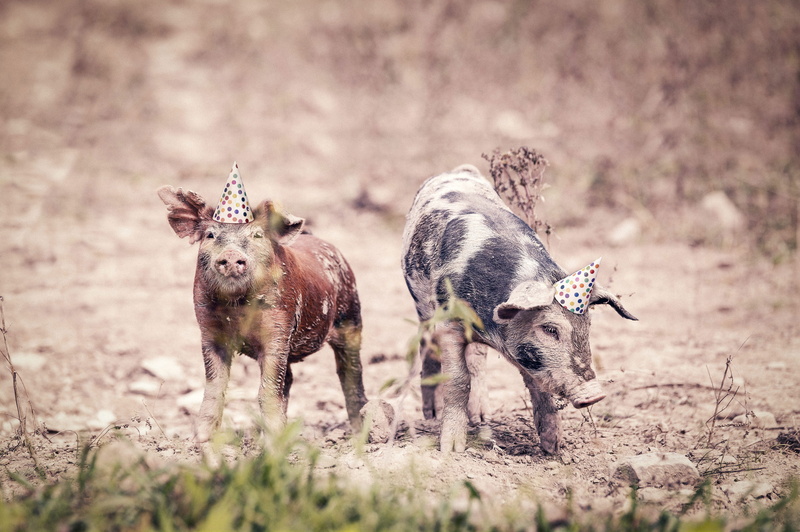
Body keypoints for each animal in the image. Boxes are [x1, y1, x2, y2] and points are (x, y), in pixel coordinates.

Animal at [158, 186, 368, 442]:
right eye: (210, 235)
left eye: (257, 235)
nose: (231, 255)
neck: (237, 308)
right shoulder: (208, 332)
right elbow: (215, 386)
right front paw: (201, 439)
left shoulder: (279, 329)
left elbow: (267, 389)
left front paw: (273, 443)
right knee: (289, 379)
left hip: (351, 316)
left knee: (350, 372)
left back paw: (360, 431)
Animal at [401, 165, 637, 454]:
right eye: (549, 329)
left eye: (588, 327)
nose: (595, 393)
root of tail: (458, 170)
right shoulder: (450, 322)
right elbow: (458, 380)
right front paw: (452, 449)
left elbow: (536, 383)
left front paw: (554, 447)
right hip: (422, 306)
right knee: (427, 343)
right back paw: (432, 415)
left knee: (477, 359)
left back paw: (481, 417)